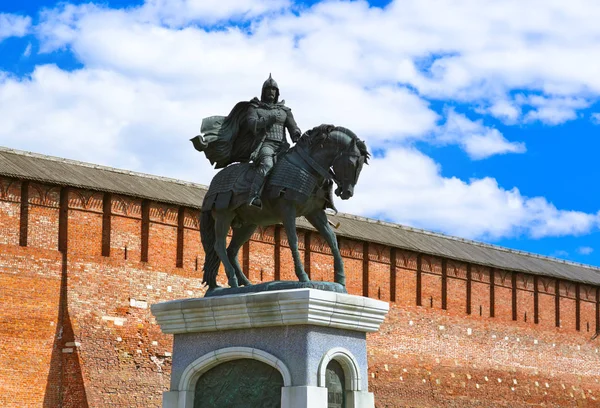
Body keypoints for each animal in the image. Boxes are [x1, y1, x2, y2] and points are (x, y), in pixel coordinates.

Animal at [200, 125, 370, 290]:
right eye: (352, 163)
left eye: (361, 166)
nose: (347, 192)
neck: (308, 167)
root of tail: (212, 185)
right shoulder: (287, 209)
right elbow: (293, 239)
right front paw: (303, 277)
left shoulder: (314, 212)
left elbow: (332, 239)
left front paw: (341, 279)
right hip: (223, 215)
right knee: (219, 246)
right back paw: (233, 280)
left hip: (248, 225)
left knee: (232, 250)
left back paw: (245, 283)